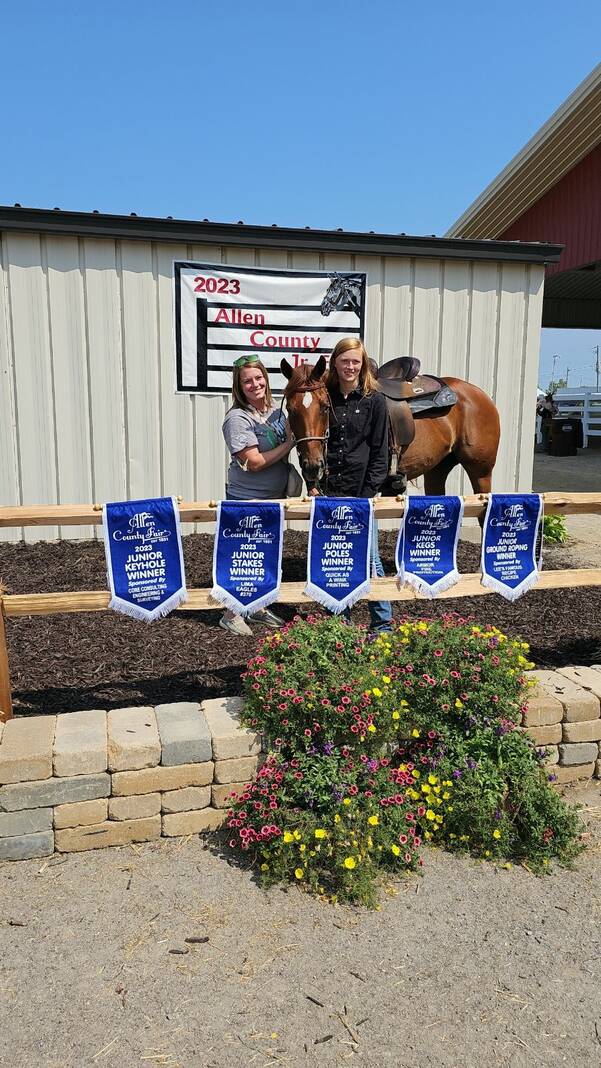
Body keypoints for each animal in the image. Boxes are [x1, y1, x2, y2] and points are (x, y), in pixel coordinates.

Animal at [283, 354, 501, 495]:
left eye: (324, 407)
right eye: (290, 410)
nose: (312, 466)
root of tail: (481, 395)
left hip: (481, 471)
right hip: (437, 469)